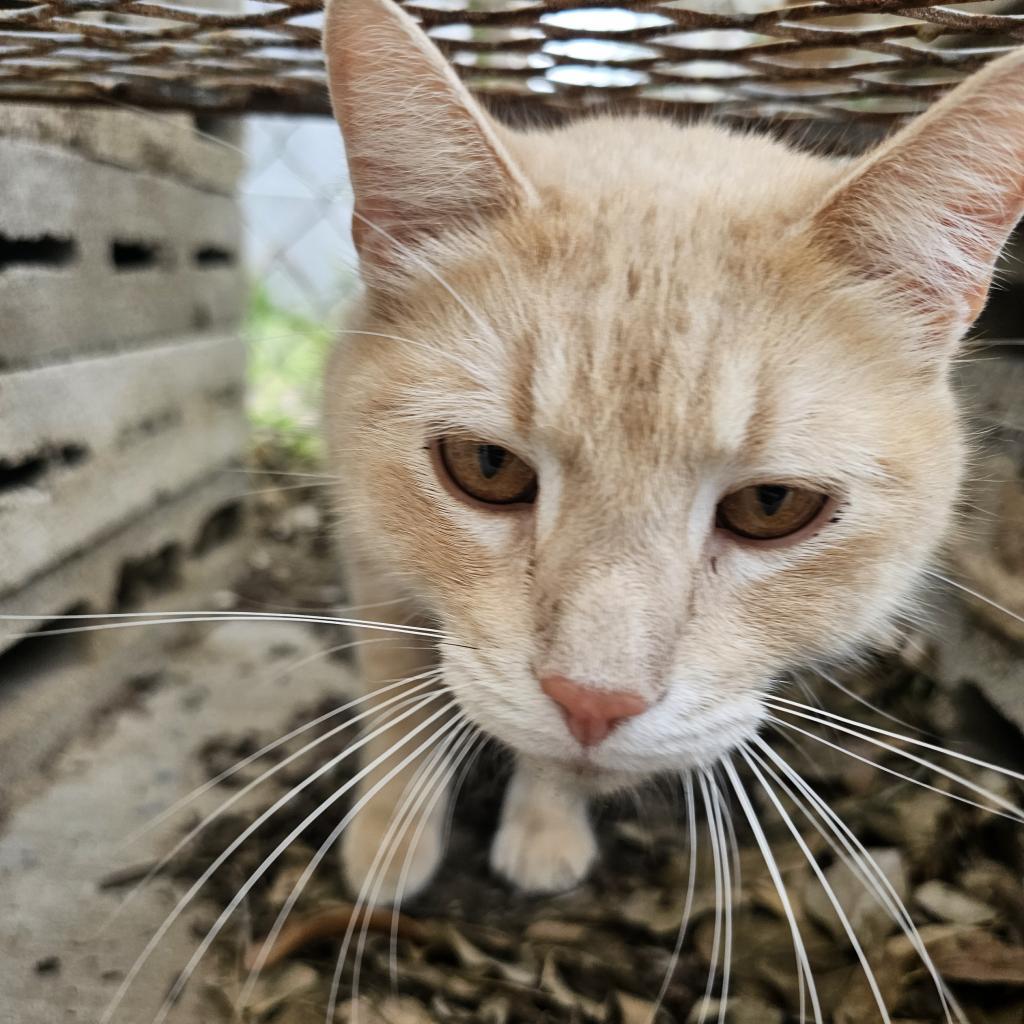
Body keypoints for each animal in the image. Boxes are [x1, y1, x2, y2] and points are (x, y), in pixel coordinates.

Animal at [319, 0, 1024, 905]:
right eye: (486, 467)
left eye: (771, 507)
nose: (592, 702)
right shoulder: (368, 544)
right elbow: (394, 687)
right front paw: (391, 831)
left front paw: (544, 826)